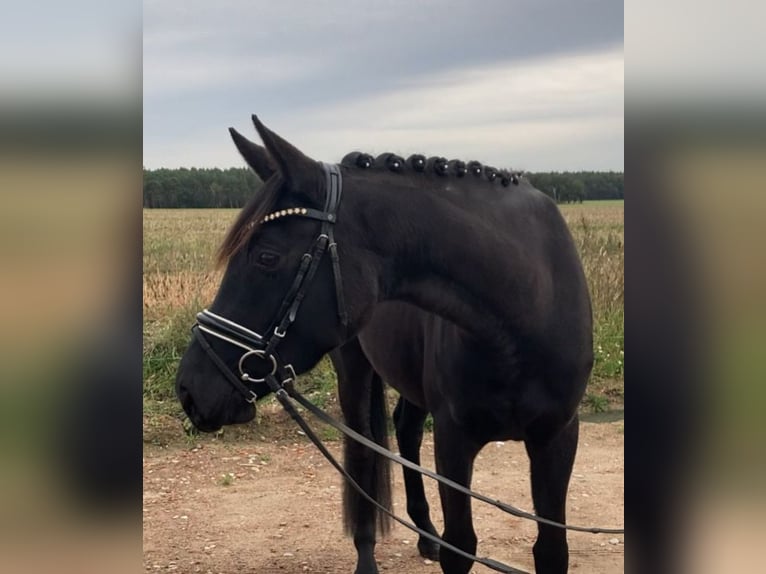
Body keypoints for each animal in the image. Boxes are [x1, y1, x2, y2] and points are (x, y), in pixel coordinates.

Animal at [177, 118, 596, 574]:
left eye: (266, 258)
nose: (189, 388)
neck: (525, 316)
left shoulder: (557, 438)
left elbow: (551, 549)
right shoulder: (453, 441)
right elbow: (461, 545)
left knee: (406, 432)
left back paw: (426, 534)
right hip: (355, 372)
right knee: (365, 450)